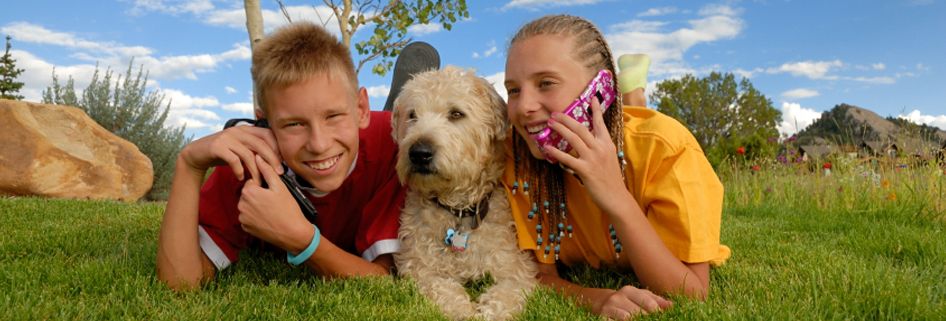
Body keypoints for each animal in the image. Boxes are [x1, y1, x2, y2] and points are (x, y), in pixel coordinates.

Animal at [390, 66, 536, 318]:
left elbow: (508, 292)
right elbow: (443, 288)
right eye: (412, 115)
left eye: (456, 114)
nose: (419, 153)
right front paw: (464, 311)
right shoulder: (418, 267)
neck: (457, 209)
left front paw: (489, 312)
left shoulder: (515, 267)